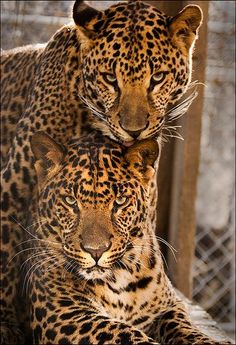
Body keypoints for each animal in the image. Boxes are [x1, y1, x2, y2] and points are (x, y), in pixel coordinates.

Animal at [14, 130, 229, 344]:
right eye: (70, 201)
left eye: (120, 201)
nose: (96, 251)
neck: (118, 280)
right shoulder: (65, 314)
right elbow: (123, 332)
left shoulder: (167, 306)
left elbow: (183, 325)